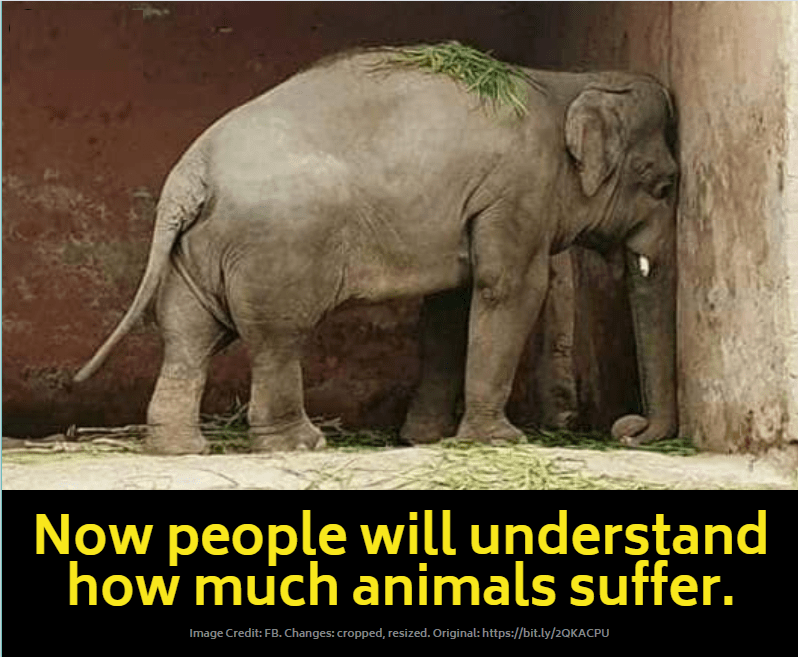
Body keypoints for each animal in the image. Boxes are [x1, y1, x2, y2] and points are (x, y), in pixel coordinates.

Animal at [74, 45, 679, 454]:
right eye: (663, 184)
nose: (629, 430)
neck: (571, 82)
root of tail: (190, 172)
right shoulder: (518, 186)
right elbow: (509, 289)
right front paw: (499, 440)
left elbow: (450, 308)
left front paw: (425, 439)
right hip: (274, 246)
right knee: (277, 338)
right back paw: (301, 444)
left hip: (197, 249)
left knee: (187, 336)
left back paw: (182, 448)